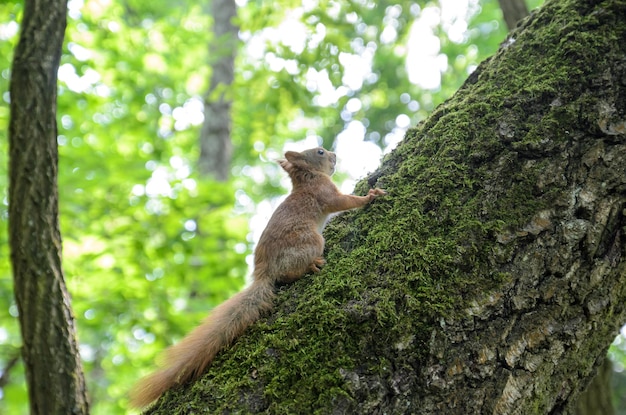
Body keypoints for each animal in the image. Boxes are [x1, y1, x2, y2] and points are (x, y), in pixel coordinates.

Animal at [130, 147, 386, 410]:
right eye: (320, 152)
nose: (335, 155)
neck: (309, 178)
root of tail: (264, 274)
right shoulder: (325, 193)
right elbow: (344, 201)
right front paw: (369, 196)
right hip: (312, 241)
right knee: (288, 273)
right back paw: (310, 266)